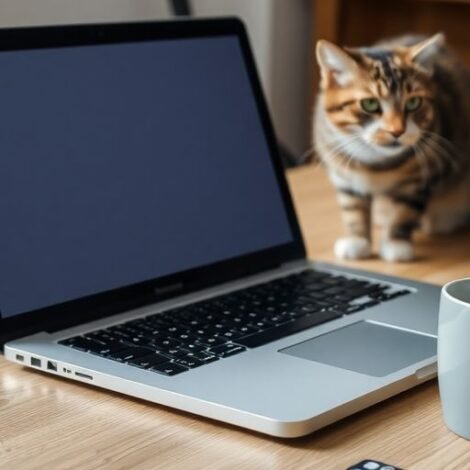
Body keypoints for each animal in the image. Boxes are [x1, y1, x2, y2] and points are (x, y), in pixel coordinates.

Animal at [312, 33, 470, 262]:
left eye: (414, 102)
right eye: (369, 104)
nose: (397, 131)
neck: (376, 163)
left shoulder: (422, 176)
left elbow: (405, 210)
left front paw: (396, 243)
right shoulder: (343, 173)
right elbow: (353, 206)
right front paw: (357, 239)